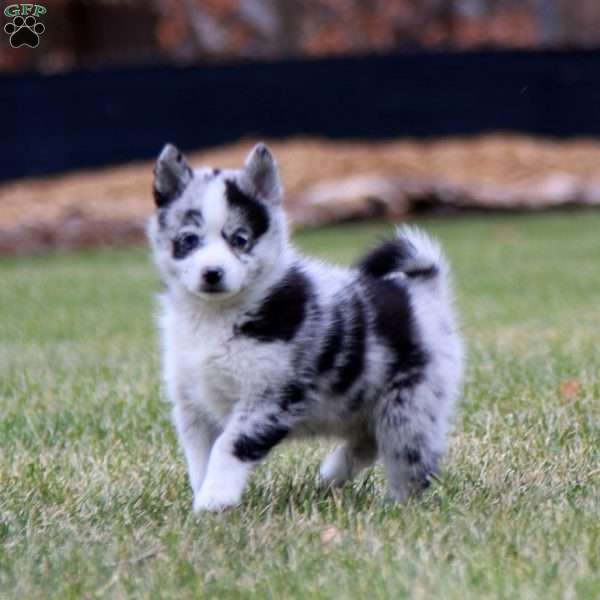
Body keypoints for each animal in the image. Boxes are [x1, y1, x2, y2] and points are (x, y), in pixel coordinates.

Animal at [146, 143, 464, 512]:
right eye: (188, 240)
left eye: (240, 239)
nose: (212, 273)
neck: (216, 316)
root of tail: (422, 291)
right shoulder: (192, 406)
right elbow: (200, 458)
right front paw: (203, 496)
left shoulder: (267, 398)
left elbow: (228, 446)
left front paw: (215, 501)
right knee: (368, 441)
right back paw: (331, 475)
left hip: (408, 408)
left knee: (407, 461)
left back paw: (397, 505)